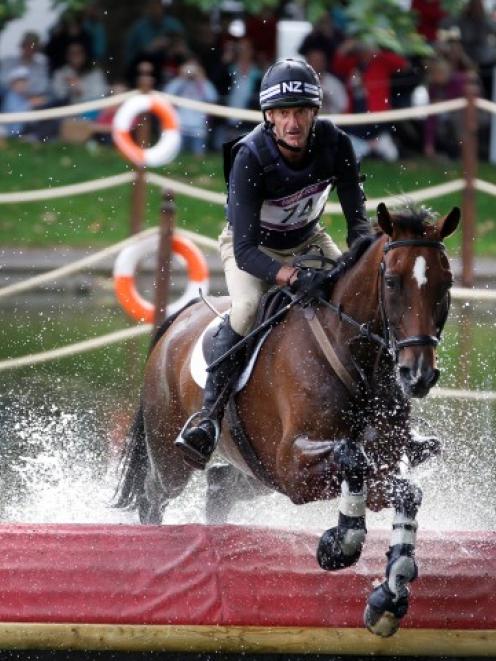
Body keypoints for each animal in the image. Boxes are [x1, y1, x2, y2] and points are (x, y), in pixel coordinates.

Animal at [114, 202, 460, 636]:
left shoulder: (379, 464)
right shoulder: (293, 467)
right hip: (173, 459)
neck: (358, 361)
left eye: (446, 283)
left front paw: (389, 597)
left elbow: (406, 492)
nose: (418, 375)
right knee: (153, 495)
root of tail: (178, 320)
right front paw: (340, 544)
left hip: (255, 476)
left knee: (219, 488)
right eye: (392, 281)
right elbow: (352, 456)